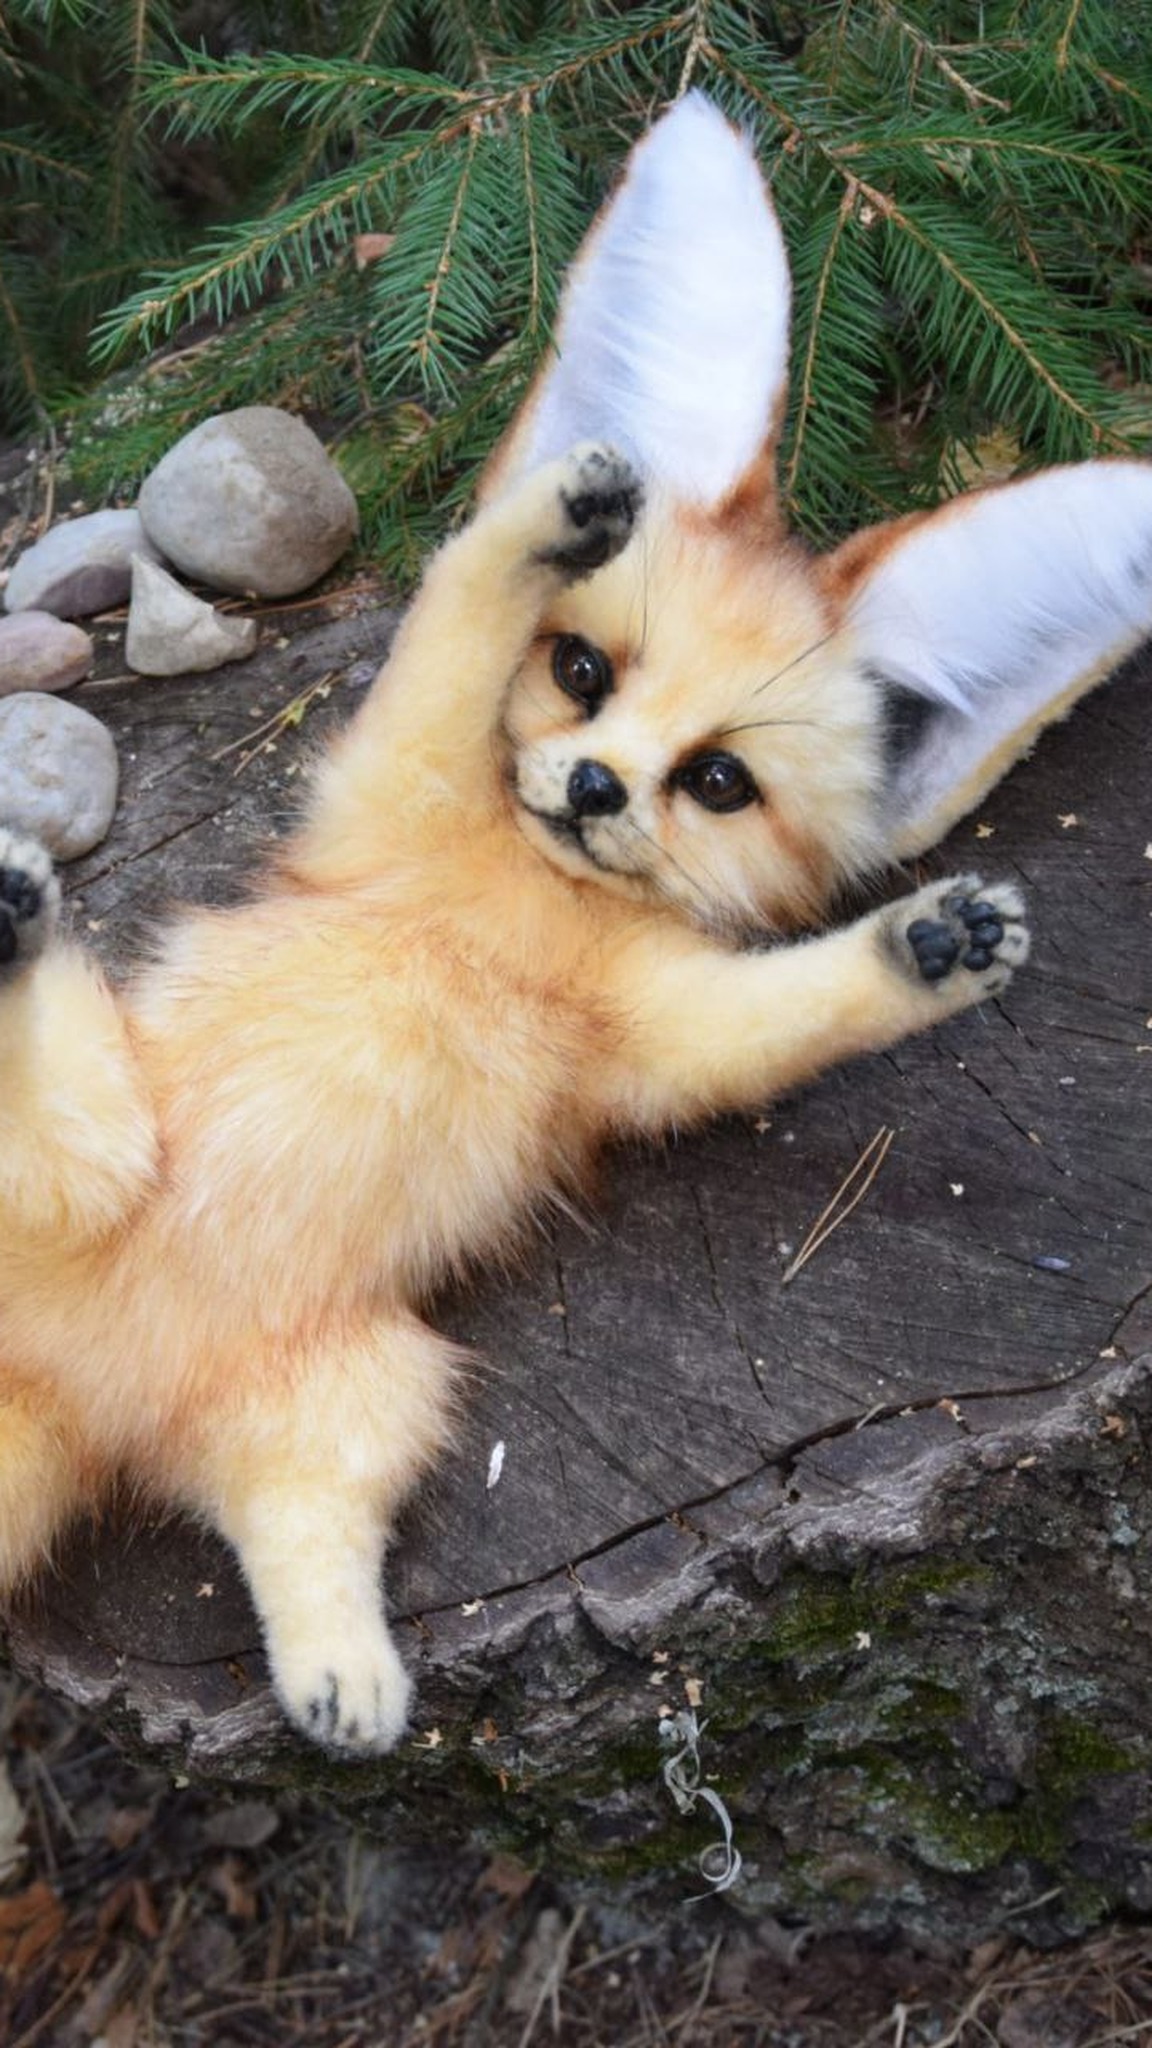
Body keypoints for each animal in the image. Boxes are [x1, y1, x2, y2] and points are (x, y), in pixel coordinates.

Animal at [2, 92, 1151, 1755]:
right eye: (583, 673)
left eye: (720, 780)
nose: (599, 786)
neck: (514, 916)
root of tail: (86, 1393)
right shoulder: (393, 778)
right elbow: (451, 605)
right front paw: (554, 515)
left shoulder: (655, 1044)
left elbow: (787, 1011)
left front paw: (928, 949)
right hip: (119, 1162)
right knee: (65, 1108)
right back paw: (17, 914)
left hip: (368, 1395)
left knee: (296, 1542)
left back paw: (347, 1686)